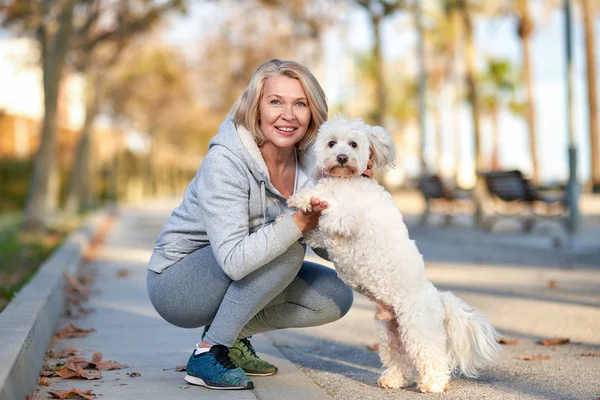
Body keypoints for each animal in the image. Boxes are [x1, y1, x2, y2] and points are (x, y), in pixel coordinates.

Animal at [288, 117, 502, 392]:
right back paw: (392, 380)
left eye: (354, 144)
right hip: (391, 332)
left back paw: (433, 384)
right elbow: (315, 227)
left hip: (417, 328)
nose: (342, 157)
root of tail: (437, 298)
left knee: (432, 357)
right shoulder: (324, 233)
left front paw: (312, 202)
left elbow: (332, 213)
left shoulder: (349, 218)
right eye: (331, 143)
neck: (345, 182)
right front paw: (299, 202)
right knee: (399, 359)